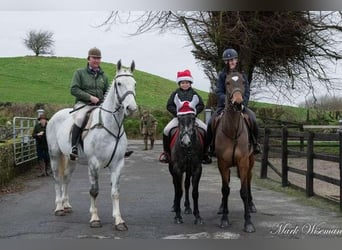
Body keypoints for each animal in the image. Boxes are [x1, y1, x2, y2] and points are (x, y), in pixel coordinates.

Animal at [46, 60, 137, 230]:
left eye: (135, 84)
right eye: (119, 83)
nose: (132, 108)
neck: (109, 125)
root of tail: (55, 115)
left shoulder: (118, 164)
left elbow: (115, 192)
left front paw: (119, 220)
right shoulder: (94, 164)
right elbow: (94, 191)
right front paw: (95, 218)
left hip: (71, 159)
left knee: (66, 178)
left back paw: (66, 205)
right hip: (55, 155)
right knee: (57, 179)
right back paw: (59, 207)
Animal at [168, 95, 203, 225]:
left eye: (193, 118)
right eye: (179, 118)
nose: (186, 142)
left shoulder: (197, 169)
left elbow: (195, 192)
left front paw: (197, 216)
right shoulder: (177, 169)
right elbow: (178, 191)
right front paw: (178, 216)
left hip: (188, 170)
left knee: (187, 185)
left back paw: (188, 207)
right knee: (176, 185)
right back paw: (175, 206)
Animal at [214, 71, 256, 233]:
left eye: (244, 82)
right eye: (227, 83)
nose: (238, 103)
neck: (232, 130)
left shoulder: (243, 162)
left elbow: (243, 191)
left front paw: (248, 222)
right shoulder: (223, 163)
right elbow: (225, 190)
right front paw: (224, 219)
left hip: (251, 161)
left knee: (249, 179)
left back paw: (251, 205)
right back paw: (221, 207)